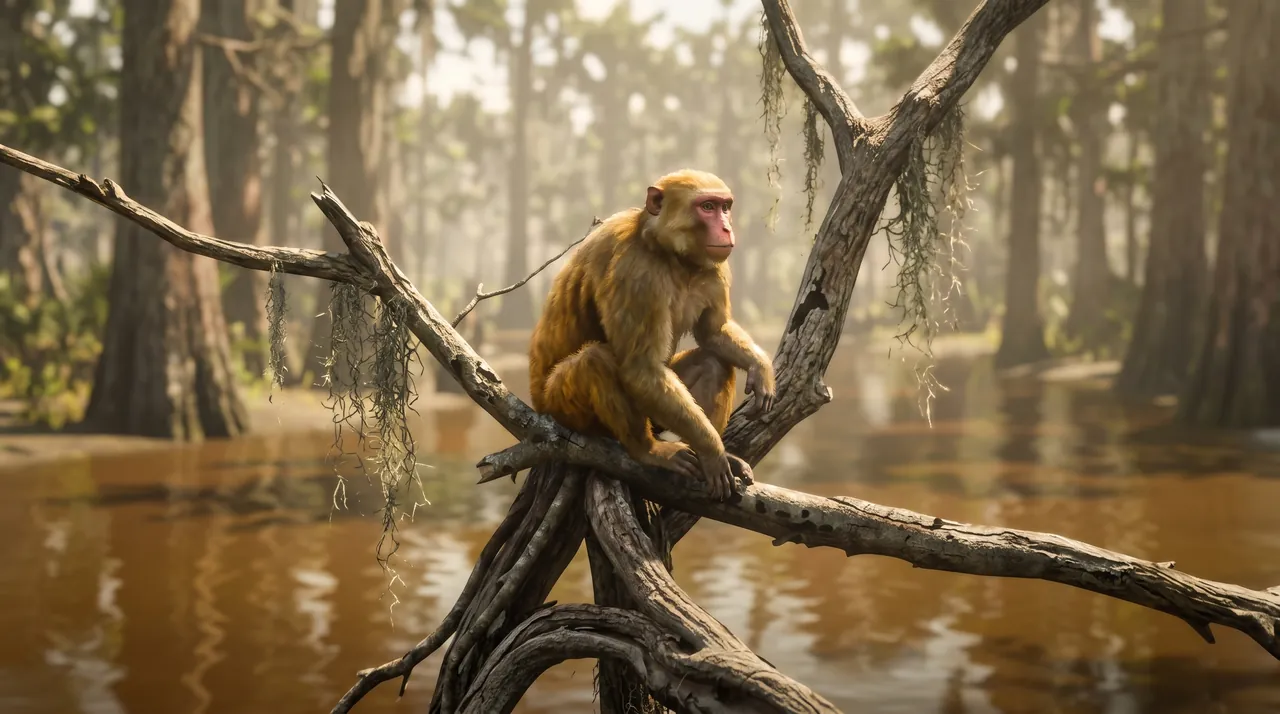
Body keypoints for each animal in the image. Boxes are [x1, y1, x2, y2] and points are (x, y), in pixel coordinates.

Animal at [528, 169, 776, 501]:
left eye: (725, 206)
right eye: (707, 207)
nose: (726, 227)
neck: (667, 252)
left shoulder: (715, 268)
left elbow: (713, 333)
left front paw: (760, 366)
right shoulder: (636, 274)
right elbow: (640, 368)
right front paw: (712, 449)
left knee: (712, 362)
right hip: (559, 407)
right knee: (597, 359)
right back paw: (646, 449)